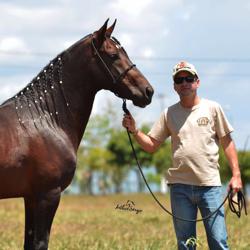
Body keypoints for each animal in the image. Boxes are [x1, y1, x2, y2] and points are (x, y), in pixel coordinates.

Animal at [0, 20, 153, 250]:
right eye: (113, 55)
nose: (148, 91)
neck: (45, 119)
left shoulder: (31, 196)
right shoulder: (48, 194)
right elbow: (40, 243)